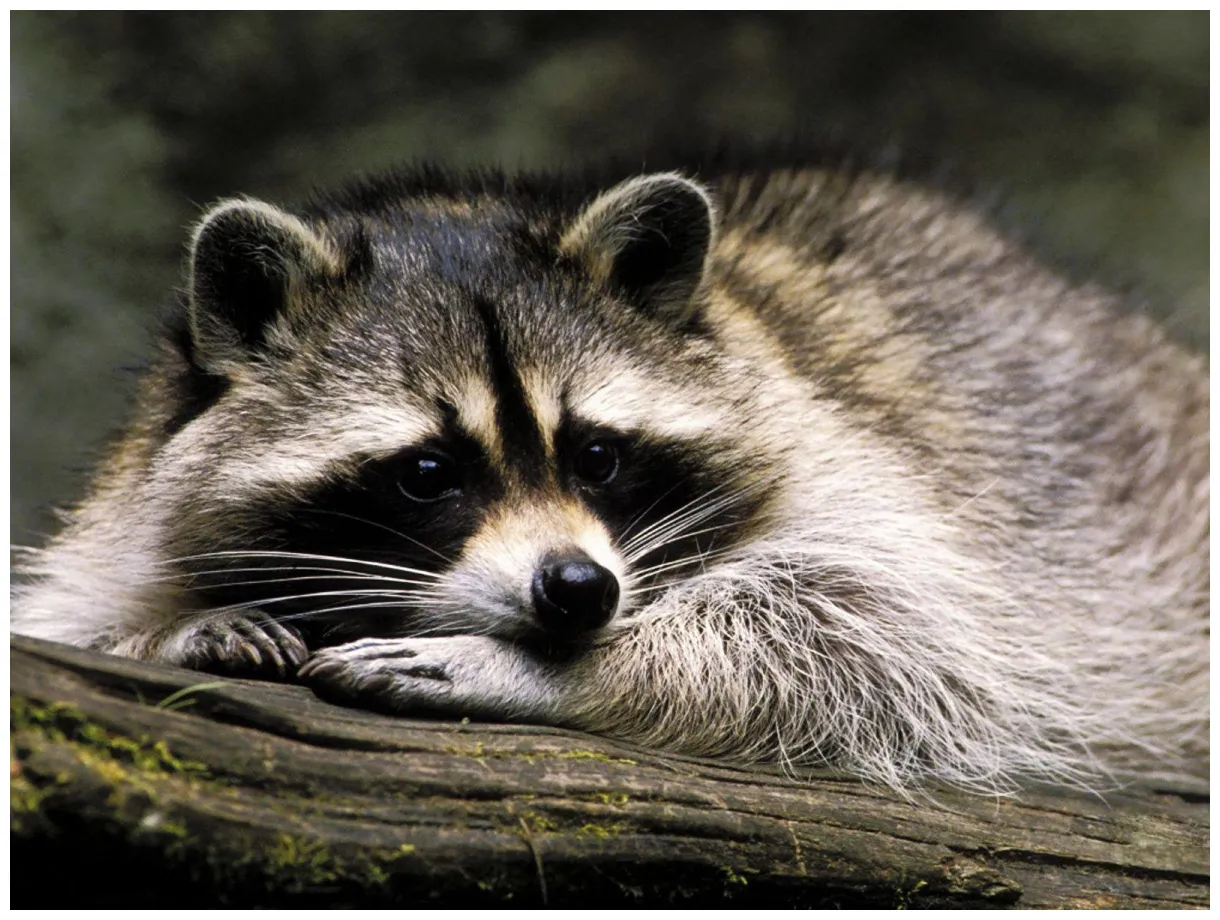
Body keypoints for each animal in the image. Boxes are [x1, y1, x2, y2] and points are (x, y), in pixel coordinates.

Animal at [12, 159, 1208, 794]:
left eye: (596, 454)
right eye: (427, 472)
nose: (577, 592)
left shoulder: (861, 465)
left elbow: (879, 638)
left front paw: (542, 669)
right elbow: (70, 615)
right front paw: (170, 628)